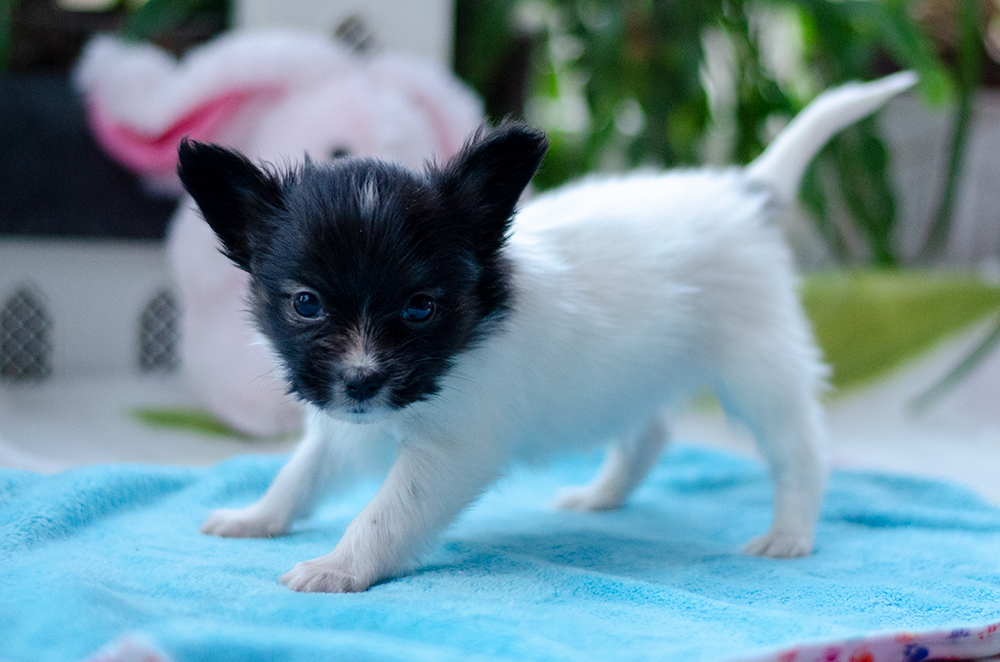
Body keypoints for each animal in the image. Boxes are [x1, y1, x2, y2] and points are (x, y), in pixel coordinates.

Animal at [179, 71, 917, 593]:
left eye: (420, 308)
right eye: (306, 304)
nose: (362, 382)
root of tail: (745, 193)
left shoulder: (451, 450)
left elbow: (387, 512)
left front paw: (338, 567)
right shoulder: (345, 421)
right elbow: (300, 473)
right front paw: (256, 518)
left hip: (757, 367)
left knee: (800, 448)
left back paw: (789, 533)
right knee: (649, 433)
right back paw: (601, 496)